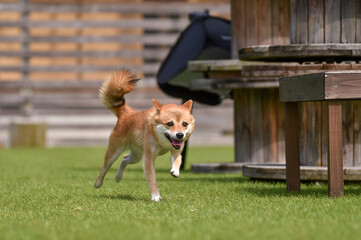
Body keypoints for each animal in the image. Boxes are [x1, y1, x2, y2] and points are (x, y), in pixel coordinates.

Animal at [93, 70, 194, 202]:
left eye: (184, 124)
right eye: (170, 123)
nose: (180, 135)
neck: (162, 142)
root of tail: (127, 112)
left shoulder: (175, 150)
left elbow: (178, 160)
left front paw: (175, 171)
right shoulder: (148, 159)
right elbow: (152, 179)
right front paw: (155, 196)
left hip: (137, 155)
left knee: (124, 158)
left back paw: (118, 176)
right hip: (114, 152)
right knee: (104, 168)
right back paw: (97, 183)